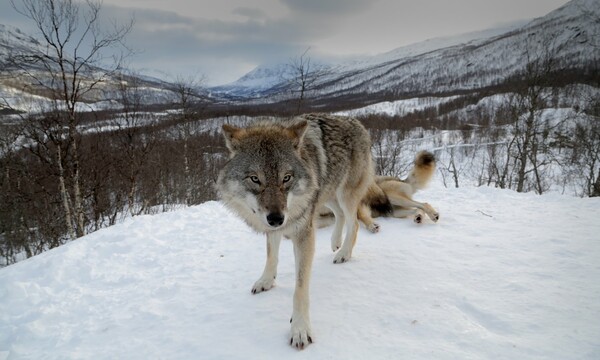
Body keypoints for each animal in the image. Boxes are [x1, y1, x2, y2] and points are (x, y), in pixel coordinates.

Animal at [218, 113, 372, 348]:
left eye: (286, 178)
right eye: (255, 179)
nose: (276, 218)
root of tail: (356, 121)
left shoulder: (303, 232)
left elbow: (300, 290)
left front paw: (300, 329)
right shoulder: (276, 226)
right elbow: (271, 255)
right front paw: (266, 280)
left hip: (344, 194)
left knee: (353, 222)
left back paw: (344, 253)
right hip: (325, 193)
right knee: (340, 215)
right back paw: (335, 243)